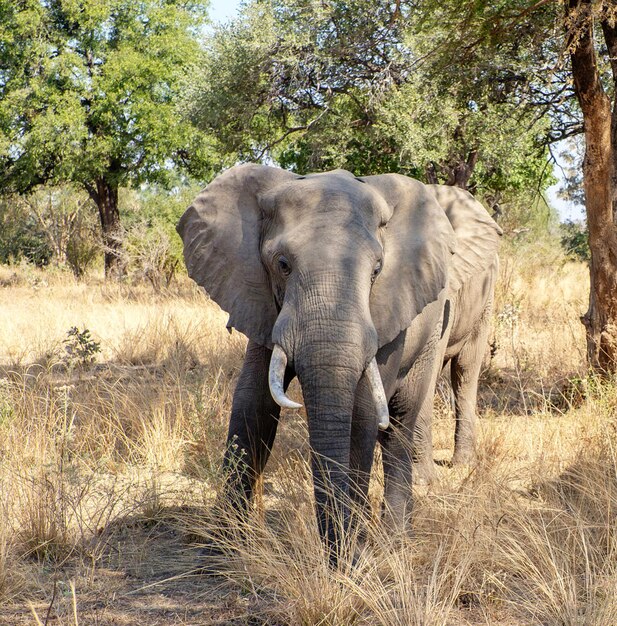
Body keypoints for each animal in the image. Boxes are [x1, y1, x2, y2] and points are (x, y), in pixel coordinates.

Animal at [174, 163, 500, 552]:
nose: (339, 554)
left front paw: (353, 553)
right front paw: (222, 547)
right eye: (282, 264)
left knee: (414, 410)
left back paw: (396, 539)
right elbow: (253, 403)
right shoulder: (258, 299)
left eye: (376, 271)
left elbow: (362, 412)